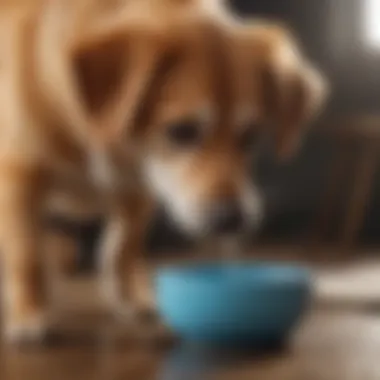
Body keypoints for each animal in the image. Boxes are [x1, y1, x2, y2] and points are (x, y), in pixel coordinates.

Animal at [0, 0, 326, 344]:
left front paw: (131, 299)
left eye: (250, 135)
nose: (231, 221)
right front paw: (29, 314)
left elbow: (123, 249)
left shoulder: (139, 192)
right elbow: (27, 257)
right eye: (182, 131)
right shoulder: (18, 180)